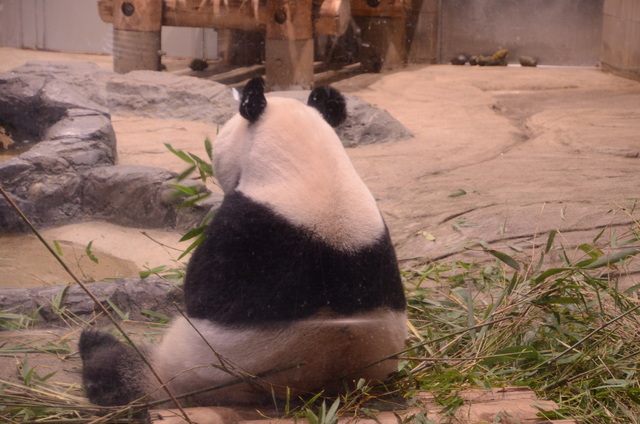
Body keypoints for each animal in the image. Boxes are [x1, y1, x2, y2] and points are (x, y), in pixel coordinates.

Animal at [79, 77, 404, 408]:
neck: (308, 162)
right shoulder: (376, 235)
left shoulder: (243, 233)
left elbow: (203, 289)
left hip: (187, 368)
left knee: (129, 370)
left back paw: (95, 346)